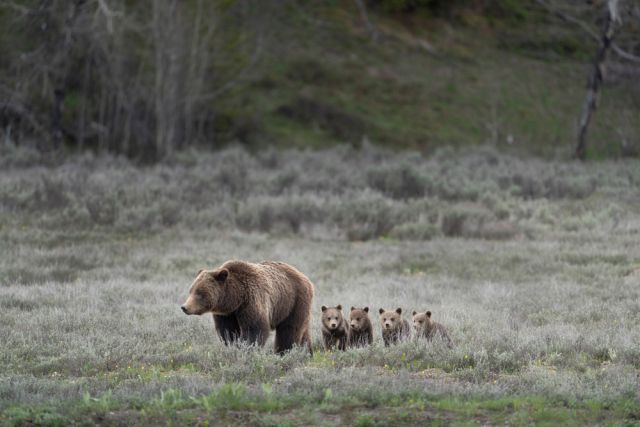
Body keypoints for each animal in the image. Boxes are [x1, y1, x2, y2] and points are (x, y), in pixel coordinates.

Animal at [181, 260, 314, 354]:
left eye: (199, 293)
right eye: (191, 290)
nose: (184, 307)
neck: (235, 298)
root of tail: (306, 278)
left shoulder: (251, 300)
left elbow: (255, 328)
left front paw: (246, 348)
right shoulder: (227, 314)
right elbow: (228, 331)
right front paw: (234, 345)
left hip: (292, 302)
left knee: (289, 330)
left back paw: (283, 353)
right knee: (303, 332)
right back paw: (307, 353)